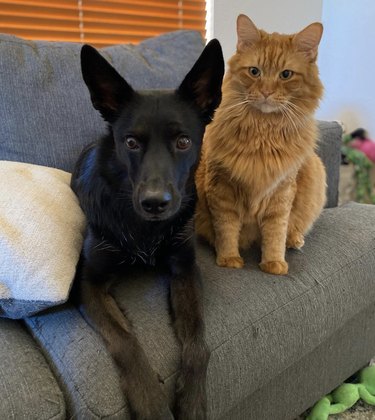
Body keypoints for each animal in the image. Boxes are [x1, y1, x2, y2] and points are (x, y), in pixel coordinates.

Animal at [70, 40, 223, 420]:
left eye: (183, 141)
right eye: (131, 143)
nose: (155, 203)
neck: (144, 229)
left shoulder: (185, 269)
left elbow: (198, 343)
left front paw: (192, 402)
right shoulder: (89, 283)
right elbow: (125, 341)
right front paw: (151, 403)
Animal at [195, 13, 328, 276]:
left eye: (286, 75)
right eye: (254, 71)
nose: (266, 92)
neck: (263, 133)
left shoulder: (281, 192)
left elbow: (276, 231)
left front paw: (274, 263)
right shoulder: (221, 189)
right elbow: (226, 229)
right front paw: (229, 258)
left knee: (294, 227)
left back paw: (294, 240)